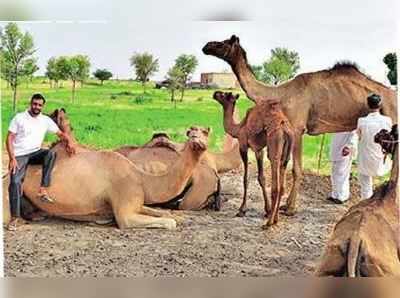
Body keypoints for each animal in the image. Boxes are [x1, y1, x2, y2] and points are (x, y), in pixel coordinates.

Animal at [3, 108, 211, 229]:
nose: (197, 140)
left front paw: (186, 219)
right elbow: (169, 222)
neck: (141, 178)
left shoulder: (137, 202)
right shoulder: (125, 211)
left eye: (205, 132)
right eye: (191, 132)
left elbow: (164, 213)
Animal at [212, 90, 294, 226]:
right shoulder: (259, 150)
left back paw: (268, 223)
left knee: (276, 183)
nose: (215, 93)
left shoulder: (243, 145)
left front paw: (242, 210)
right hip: (287, 152)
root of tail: (285, 129)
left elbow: (245, 179)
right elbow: (261, 178)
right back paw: (275, 218)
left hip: (274, 144)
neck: (238, 128)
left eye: (224, 95)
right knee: (282, 180)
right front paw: (267, 210)